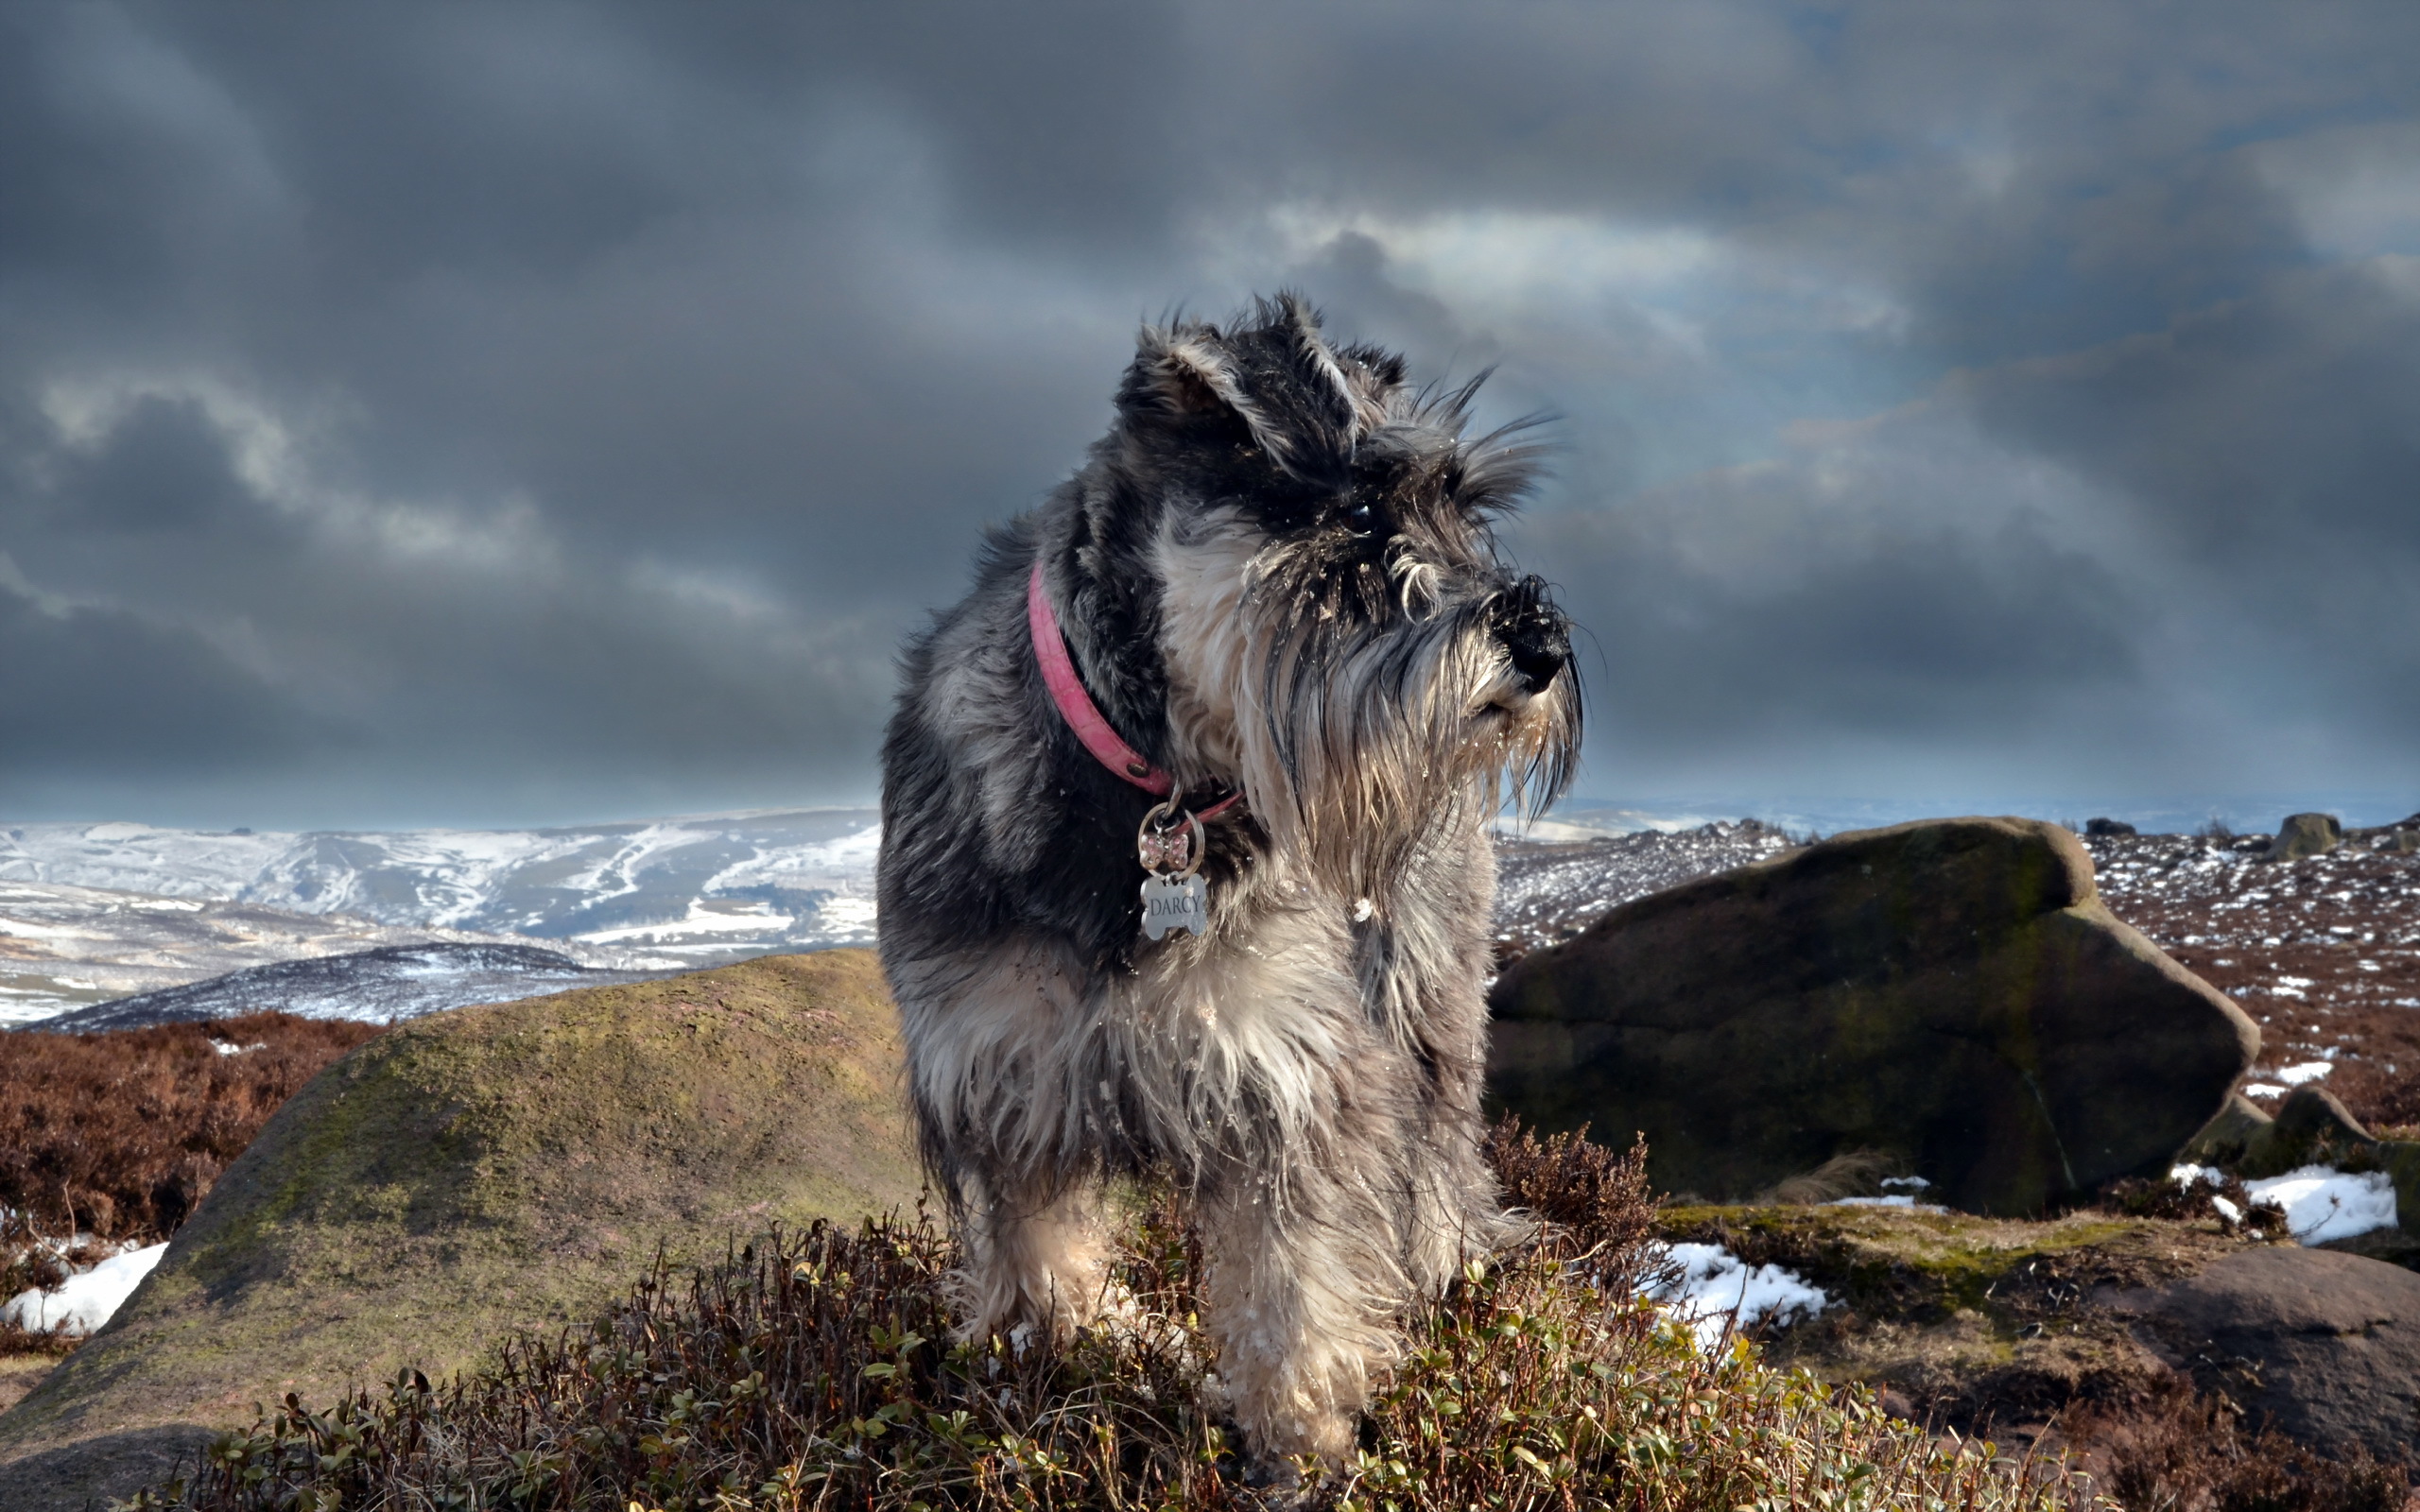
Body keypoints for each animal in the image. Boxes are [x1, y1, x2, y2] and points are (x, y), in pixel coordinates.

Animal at [880, 295, 1578, 1470]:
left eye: (1464, 507)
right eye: (1354, 506)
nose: (1537, 641)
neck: (1148, 795)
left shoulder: (1288, 1080)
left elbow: (1292, 1295)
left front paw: (1303, 1450)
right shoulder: (997, 1074)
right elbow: (1038, 1258)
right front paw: (1056, 1361)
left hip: (1424, 999)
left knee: (1437, 1157)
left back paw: (1447, 1272)